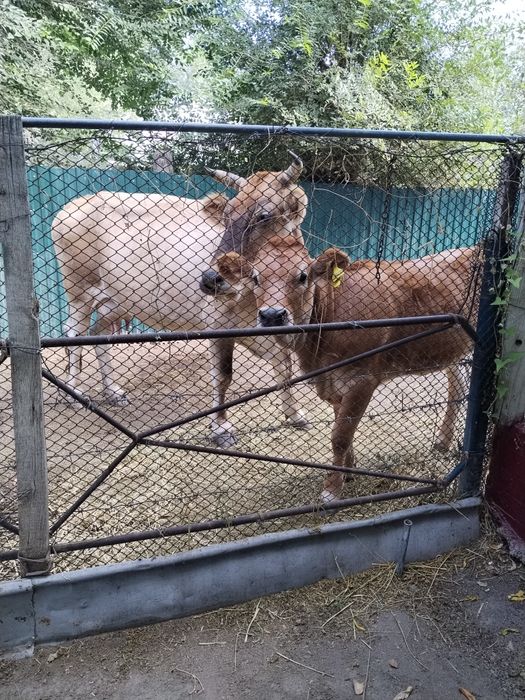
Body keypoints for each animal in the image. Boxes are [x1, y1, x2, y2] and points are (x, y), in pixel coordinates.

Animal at [51, 155, 309, 446]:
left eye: (264, 215)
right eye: (227, 214)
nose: (211, 278)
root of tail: (74, 205)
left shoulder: (263, 324)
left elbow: (284, 363)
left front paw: (295, 414)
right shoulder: (218, 325)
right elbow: (223, 376)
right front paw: (221, 429)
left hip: (118, 299)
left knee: (98, 333)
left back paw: (113, 392)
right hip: (80, 292)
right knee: (74, 335)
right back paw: (73, 394)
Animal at [209, 236, 478, 501]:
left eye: (302, 276)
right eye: (256, 278)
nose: (272, 315)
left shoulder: (361, 379)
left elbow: (339, 436)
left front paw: (331, 491)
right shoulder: (331, 382)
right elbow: (342, 427)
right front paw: (348, 470)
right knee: (457, 383)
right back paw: (443, 441)